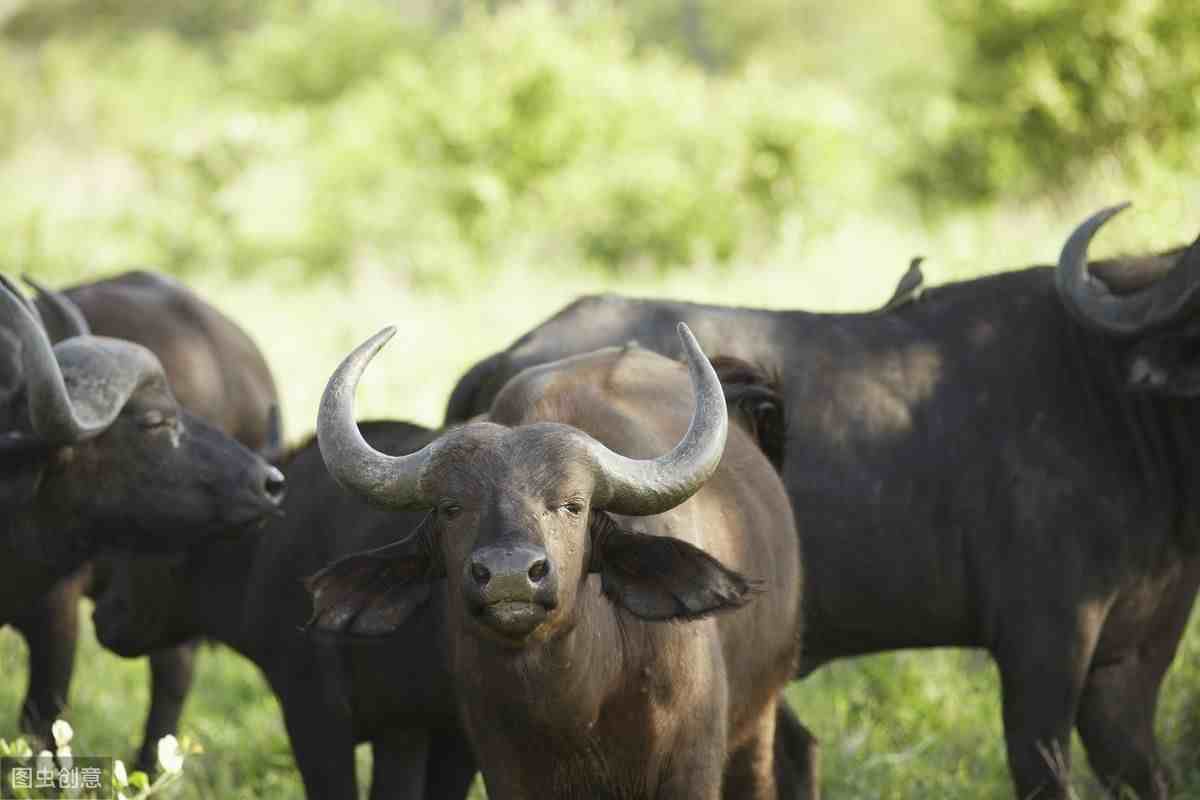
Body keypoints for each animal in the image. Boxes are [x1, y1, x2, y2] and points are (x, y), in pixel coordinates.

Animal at [309, 321, 801, 796]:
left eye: (572, 505)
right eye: (451, 508)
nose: (509, 576)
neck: (576, 713)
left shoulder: (692, 766)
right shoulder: (500, 769)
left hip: (760, 717)